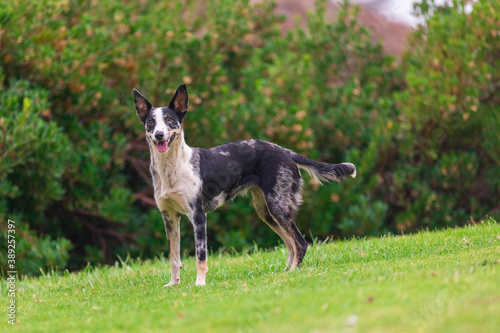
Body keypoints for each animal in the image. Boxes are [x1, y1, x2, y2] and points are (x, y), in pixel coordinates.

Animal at [132, 84, 356, 284]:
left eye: (170, 120)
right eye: (151, 122)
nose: (159, 135)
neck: (172, 170)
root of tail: (286, 151)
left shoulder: (198, 216)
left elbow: (200, 257)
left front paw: (200, 284)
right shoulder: (170, 217)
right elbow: (173, 257)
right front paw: (174, 285)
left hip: (278, 206)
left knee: (300, 243)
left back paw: (292, 272)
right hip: (266, 211)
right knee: (291, 243)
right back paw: (285, 272)